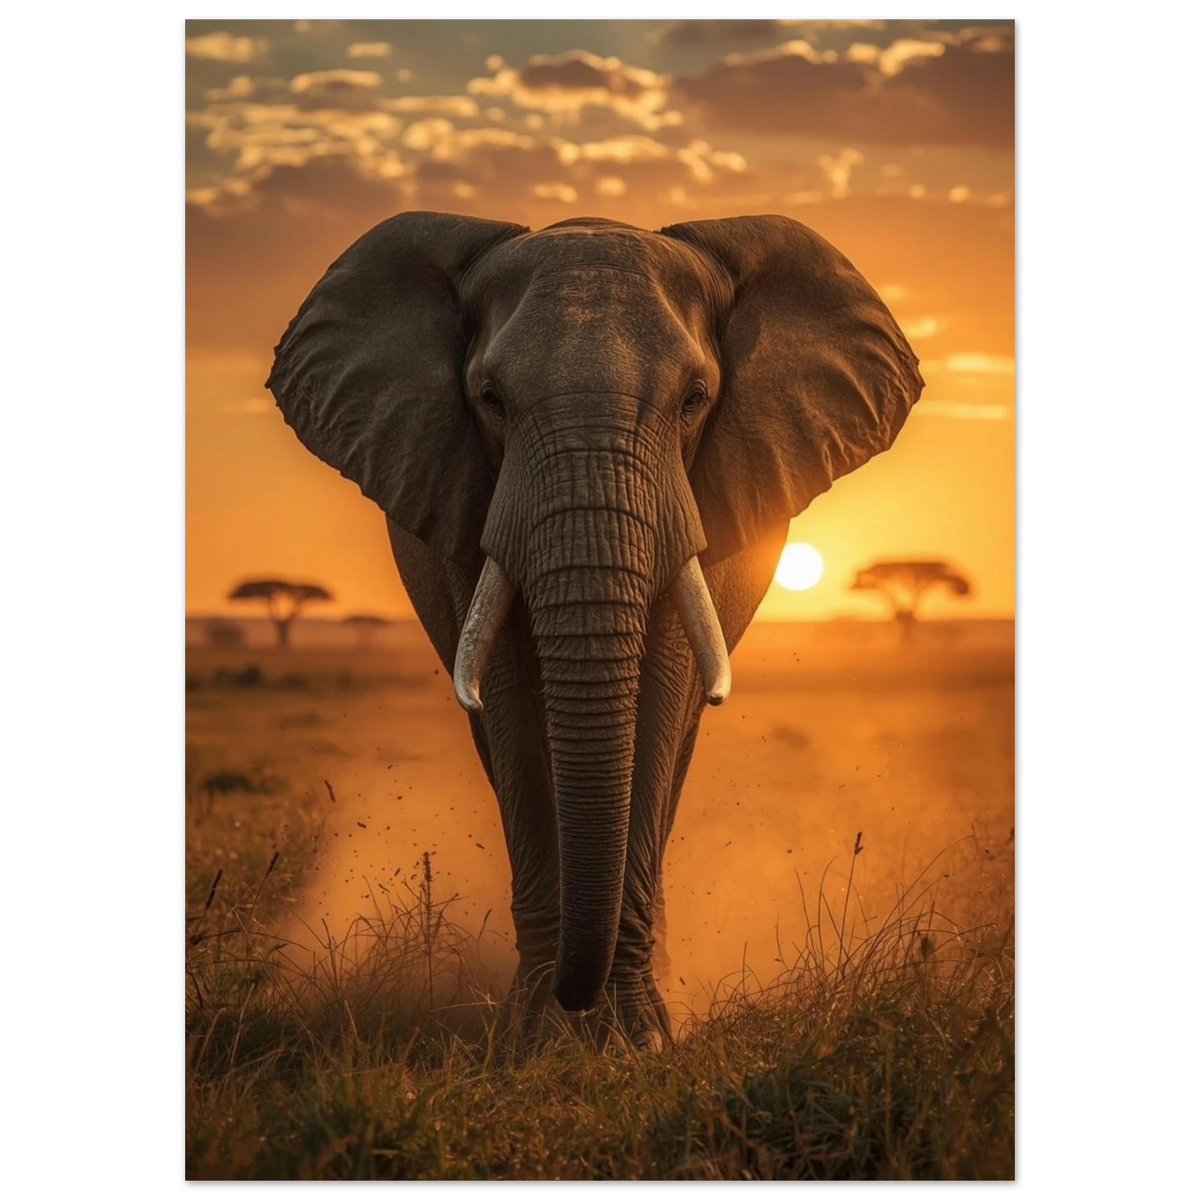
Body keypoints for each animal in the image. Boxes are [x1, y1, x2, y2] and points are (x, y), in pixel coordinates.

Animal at [265, 212, 923, 1050]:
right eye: (490, 399)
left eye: (695, 399)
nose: (577, 1001)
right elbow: (511, 713)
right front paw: (535, 1042)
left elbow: (660, 702)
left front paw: (639, 1041)